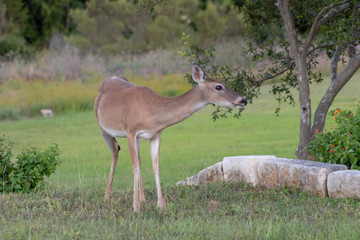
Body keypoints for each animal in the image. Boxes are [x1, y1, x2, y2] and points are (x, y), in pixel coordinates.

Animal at [93, 63, 248, 212]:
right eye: (218, 86)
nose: (243, 100)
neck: (152, 113)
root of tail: (107, 79)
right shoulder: (130, 130)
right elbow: (134, 167)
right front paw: (135, 208)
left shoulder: (155, 134)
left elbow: (155, 166)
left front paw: (160, 206)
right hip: (103, 128)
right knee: (115, 150)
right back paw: (107, 196)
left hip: (136, 139)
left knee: (136, 158)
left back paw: (142, 199)